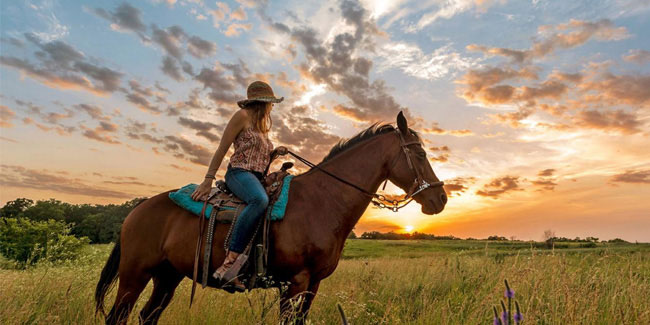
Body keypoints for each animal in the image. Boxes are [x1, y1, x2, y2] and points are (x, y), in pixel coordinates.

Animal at [95, 110, 446, 322]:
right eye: (420, 153)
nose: (440, 199)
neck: (323, 201)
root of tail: (136, 210)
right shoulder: (295, 282)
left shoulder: (312, 285)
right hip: (134, 275)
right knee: (118, 316)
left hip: (167, 277)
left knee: (147, 316)